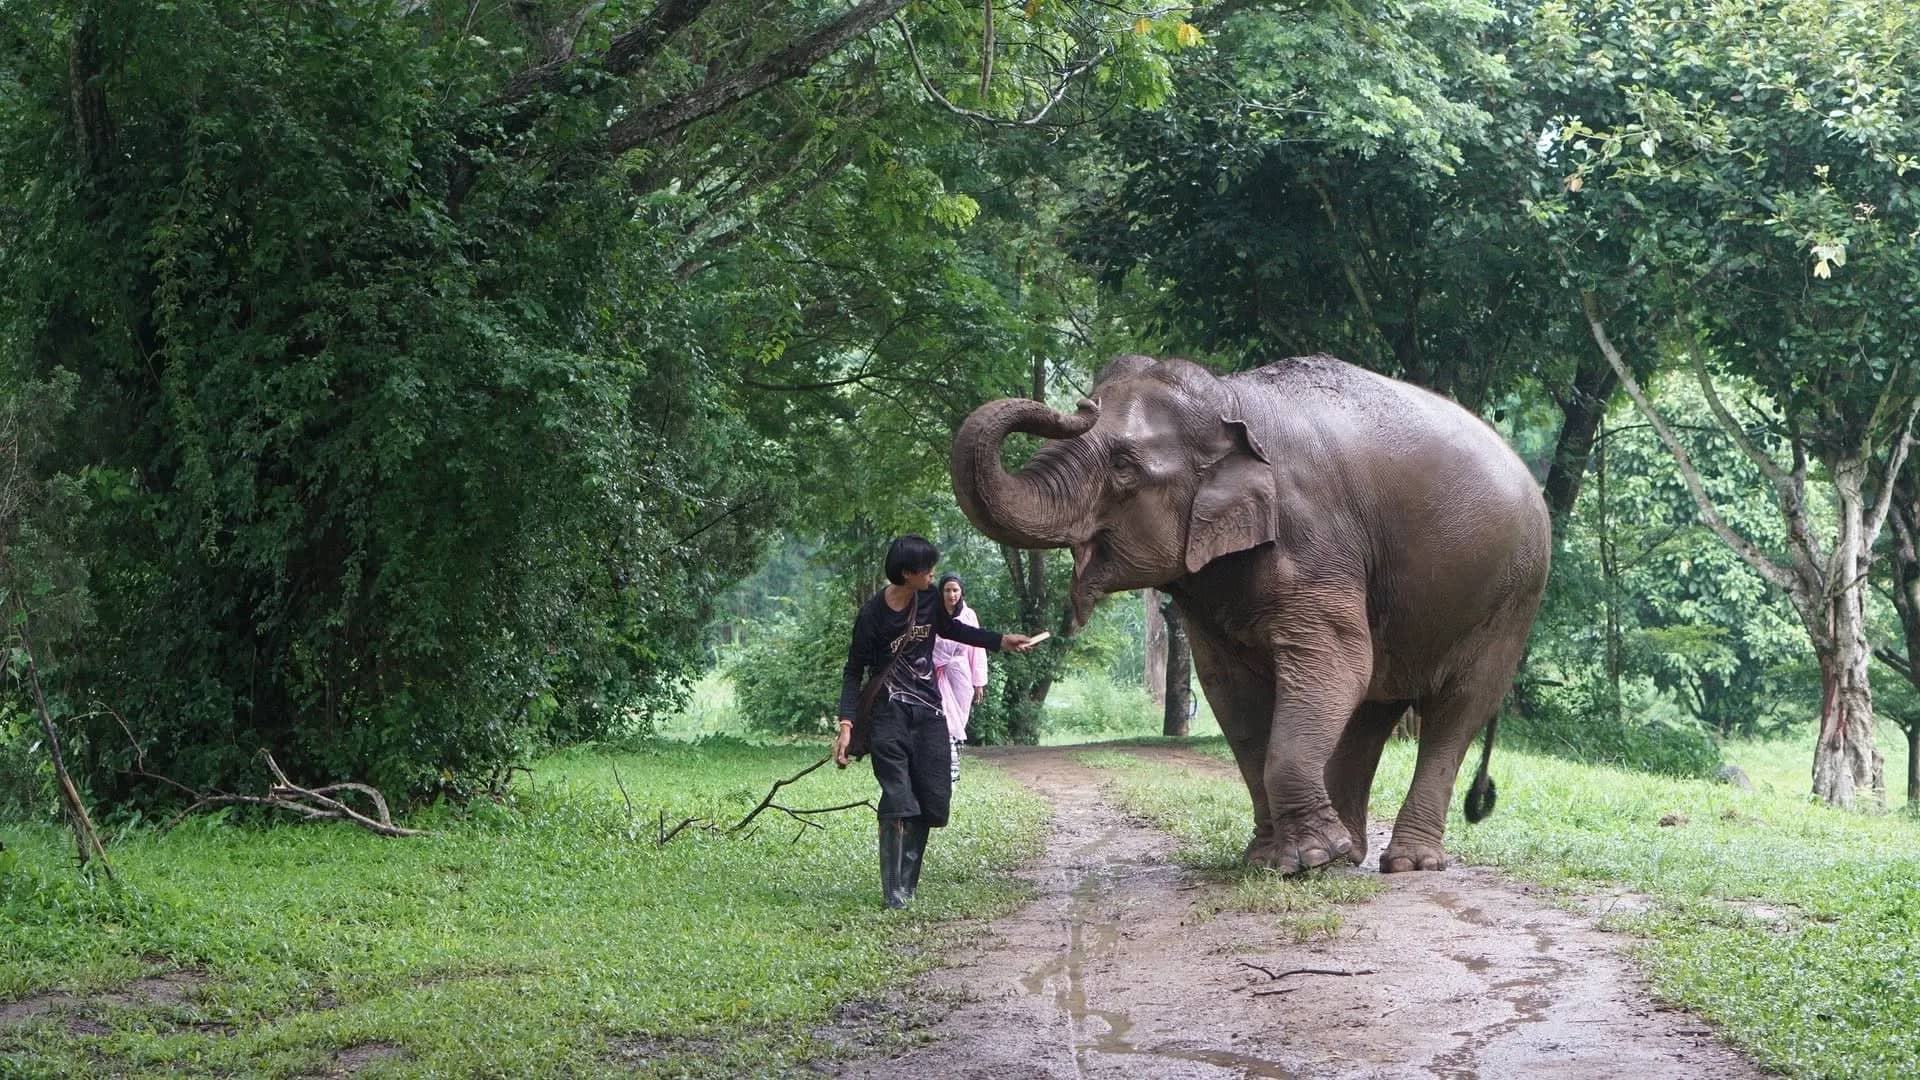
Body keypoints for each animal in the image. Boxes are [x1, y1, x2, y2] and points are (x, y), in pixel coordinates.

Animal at [950, 354, 1549, 874]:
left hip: (1511, 601)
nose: (1081, 404)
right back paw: (1350, 853)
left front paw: (1309, 859)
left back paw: (1408, 863)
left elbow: (1336, 663)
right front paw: (1272, 860)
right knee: (1372, 708)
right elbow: (1230, 690)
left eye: (1123, 467)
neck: (1229, 400)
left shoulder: (1314, 541)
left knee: (1457, 708)